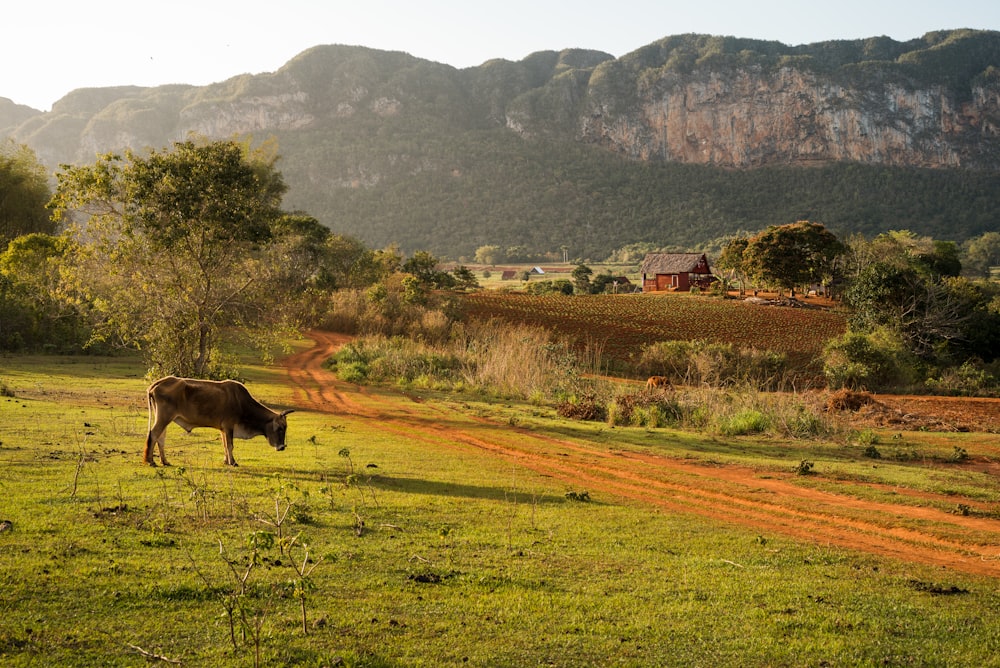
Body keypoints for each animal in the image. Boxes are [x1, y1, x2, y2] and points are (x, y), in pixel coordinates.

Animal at [145, 378, 292, 468]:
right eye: (280, 428)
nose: (282, 447)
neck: (242, 403)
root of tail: (156, 384)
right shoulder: (229, 426)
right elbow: (230, 445)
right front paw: (233, 462)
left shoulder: (223, 429)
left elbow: (225, 445)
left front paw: (226, 461)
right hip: (164, 417)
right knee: (154, 434)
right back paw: (150, 461)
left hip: (163, 418)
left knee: (161, 438)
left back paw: (164, 461)